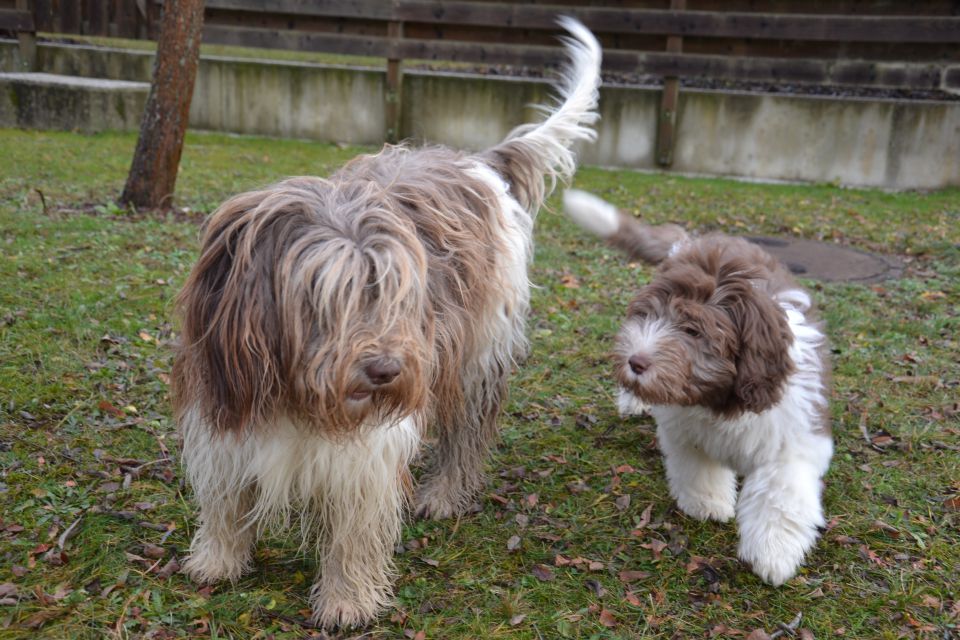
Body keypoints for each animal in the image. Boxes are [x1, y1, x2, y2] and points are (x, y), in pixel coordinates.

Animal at [564, 189, 832, 584]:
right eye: (646, 316)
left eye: (693, 331)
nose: (635, 362)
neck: (720, 398)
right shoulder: (684, 430)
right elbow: (698, 466)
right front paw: (708, 504)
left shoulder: (794, 434)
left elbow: (779, 493)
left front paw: (773, 553)